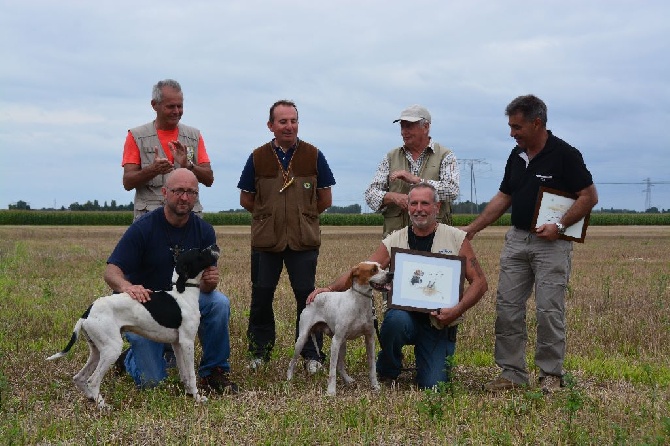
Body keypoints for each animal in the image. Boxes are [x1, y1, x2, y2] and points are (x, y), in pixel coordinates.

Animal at [48, 246, 220, 410]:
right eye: (200, 252)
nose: (215, 246)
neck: (183, 293)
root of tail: (86, 314)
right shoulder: (187, 342)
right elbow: (191, 375)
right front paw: (197, 398)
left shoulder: (177, 344)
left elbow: (184, 374)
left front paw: (189, 394)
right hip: (112, 349)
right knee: (92, 381)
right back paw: (103, 406)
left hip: (97, 351)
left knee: (79, 377)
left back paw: (93, 399)